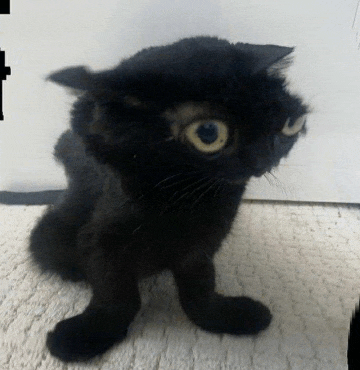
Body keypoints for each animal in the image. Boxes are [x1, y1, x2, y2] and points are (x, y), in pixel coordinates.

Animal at [29, 35, 308, 362]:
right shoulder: (102, 239)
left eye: (288, 124)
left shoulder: (206, 237)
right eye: (209, 133)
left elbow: (200, 285)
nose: (262, 159)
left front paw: (223, 317)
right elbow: (115, 293)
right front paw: (86, 335)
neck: (185, 195)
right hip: (51, 233)